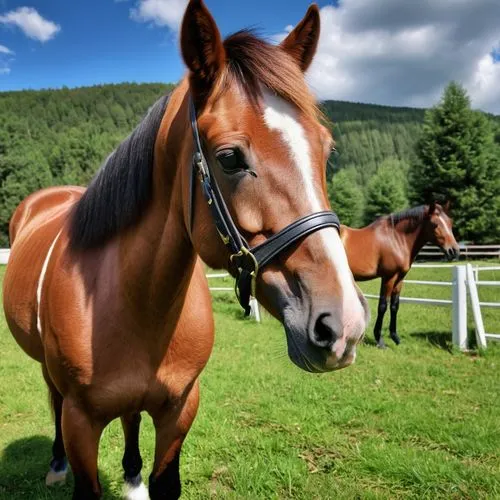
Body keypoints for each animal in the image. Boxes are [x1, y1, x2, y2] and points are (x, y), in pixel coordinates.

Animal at [0, 1, 368, 498]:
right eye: (229, 157)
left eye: (326, 151)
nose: (343, 325)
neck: (133, 302)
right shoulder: (81, 422)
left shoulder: (180, 408)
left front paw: (139, 478)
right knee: (53, 398)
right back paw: (56, 464)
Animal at [338, 202, 458, 348]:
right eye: (435, 224)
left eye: (450, 222)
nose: (453, 251)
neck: (396, 239)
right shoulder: (389, 277)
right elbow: (383, 306)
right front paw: (379, 339)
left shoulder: (400, 278)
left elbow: (395, 305)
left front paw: (395, 337)